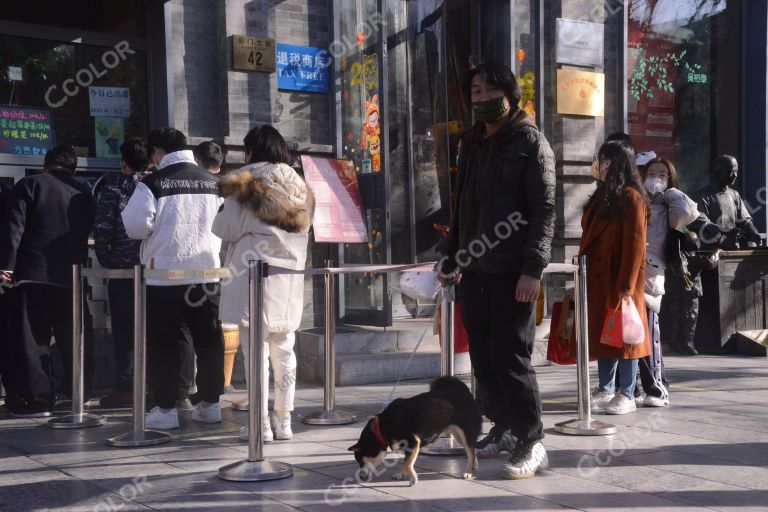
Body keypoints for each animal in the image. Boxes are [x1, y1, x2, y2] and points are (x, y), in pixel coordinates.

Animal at [348, 376, 480, 484]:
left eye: (361, 461)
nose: (361, 476)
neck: (382, 428)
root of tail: (464, 390)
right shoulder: (409, 446)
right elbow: (406, 460)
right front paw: (401, 474)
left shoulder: (413, 442)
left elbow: (408, 463)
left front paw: (413, 479)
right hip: (457, 434)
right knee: (472, 449)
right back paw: (474, 466)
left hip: (465, 432)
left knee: (471, 451)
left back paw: (468, 472)